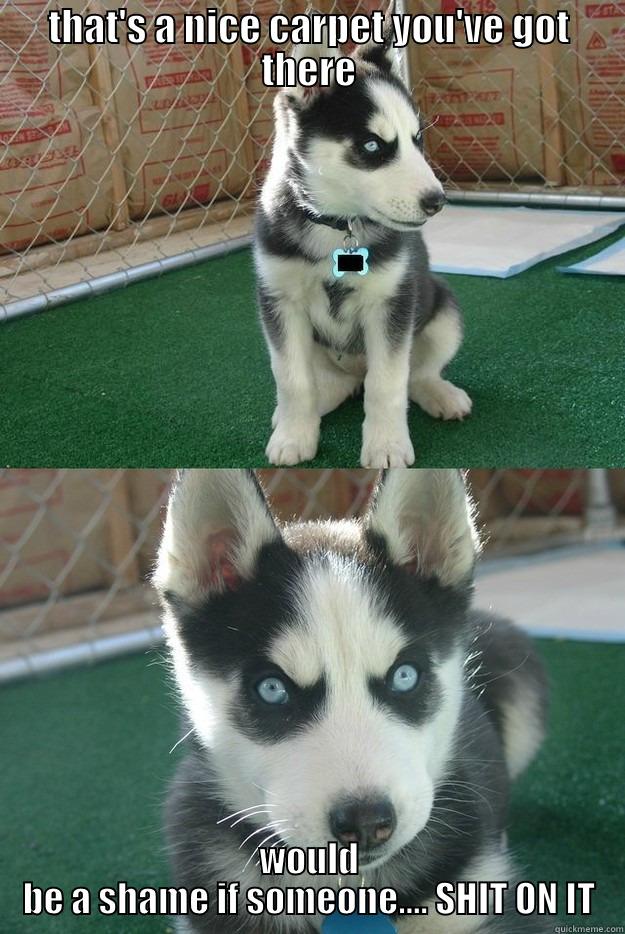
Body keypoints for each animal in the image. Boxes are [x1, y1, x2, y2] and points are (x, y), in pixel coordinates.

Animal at [256, 15, 470, 468]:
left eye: (417, 139)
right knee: (329, 383)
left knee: (415, 374)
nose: (437, 202)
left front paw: (386, 445)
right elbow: (292, 379)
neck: (338, 225)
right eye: (372, 145)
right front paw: (294, 435)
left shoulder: (391, 305)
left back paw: (440, 393)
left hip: (443, 310)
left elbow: (387, 383)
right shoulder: (280, 302)